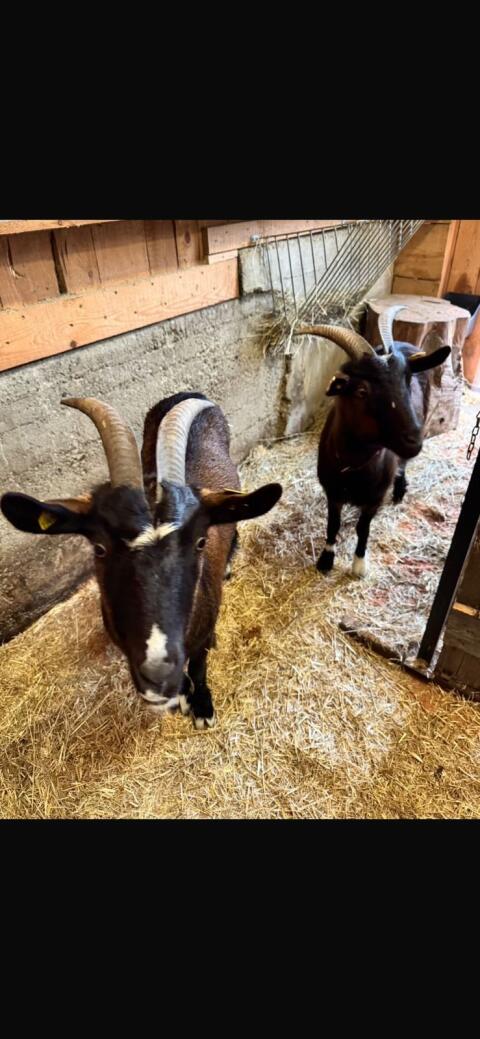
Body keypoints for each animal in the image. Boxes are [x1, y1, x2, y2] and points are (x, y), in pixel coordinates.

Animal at [1, 393, 282, 729]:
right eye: (99, 548)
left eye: (200, 542)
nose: (158, 674)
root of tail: (188, 394)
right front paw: (182, 693)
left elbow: (199, 663)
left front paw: (201, 704)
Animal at [294, 309, 451, 578]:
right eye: (361, 391)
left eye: (406, 381)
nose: (414, 439)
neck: (353, 466)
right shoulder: (332, 492)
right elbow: (332, 525)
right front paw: (326, 559)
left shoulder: (374, 499)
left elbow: (363, 528)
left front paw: (359, 564)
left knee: (403, 465)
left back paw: (399, 491)